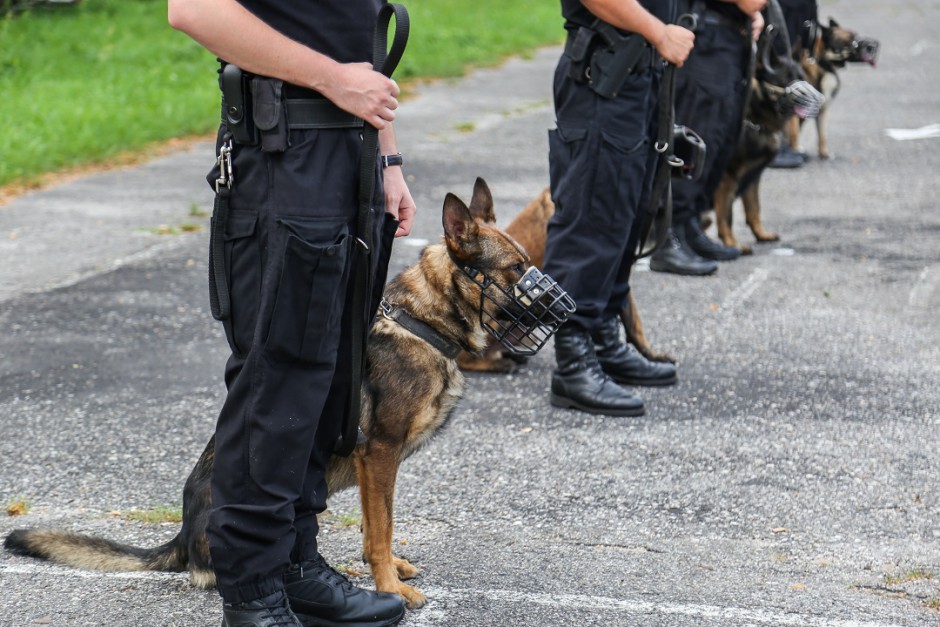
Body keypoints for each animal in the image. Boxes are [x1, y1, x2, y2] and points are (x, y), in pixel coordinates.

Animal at [3, 179, 572, 612]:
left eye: (528, 261)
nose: (569, 309)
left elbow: (377, 524)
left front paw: (385, 570)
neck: (425, 322)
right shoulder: (380, 453)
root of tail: (182, 537)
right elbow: (381, 530)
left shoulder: (374, 464)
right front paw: (389, 587)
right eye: (515, 270)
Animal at [712, 13, 824, 253]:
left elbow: (754, 208)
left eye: (801, 76)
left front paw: (760, 234)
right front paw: (732, 243)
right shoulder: (727, 177)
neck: (755, 118)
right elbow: (725, 213)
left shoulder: (753, 176)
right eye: (785, 80)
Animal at [784, 19, 880, 162]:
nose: (875, 45)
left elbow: (822, 135)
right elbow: (794, 133)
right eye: (851, 40)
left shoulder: (823, 109)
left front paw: (824, 153)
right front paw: (795, 150)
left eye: (856, 36)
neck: (823, 64)